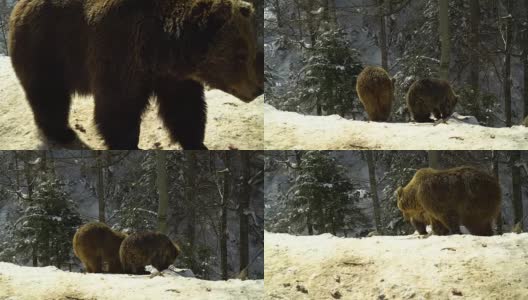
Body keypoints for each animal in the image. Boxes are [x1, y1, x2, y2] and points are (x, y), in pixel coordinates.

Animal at [8, 0, 262, 149]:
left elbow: (184, 108)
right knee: (49, 95)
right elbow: (118, 108)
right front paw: (126, 142)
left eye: (252, 51)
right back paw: (61, 132)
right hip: (47, 47)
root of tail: (18, 7)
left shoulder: (172, 77)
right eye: (240, 55)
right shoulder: (118, 52)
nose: (258, 89)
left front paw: (196, 143)